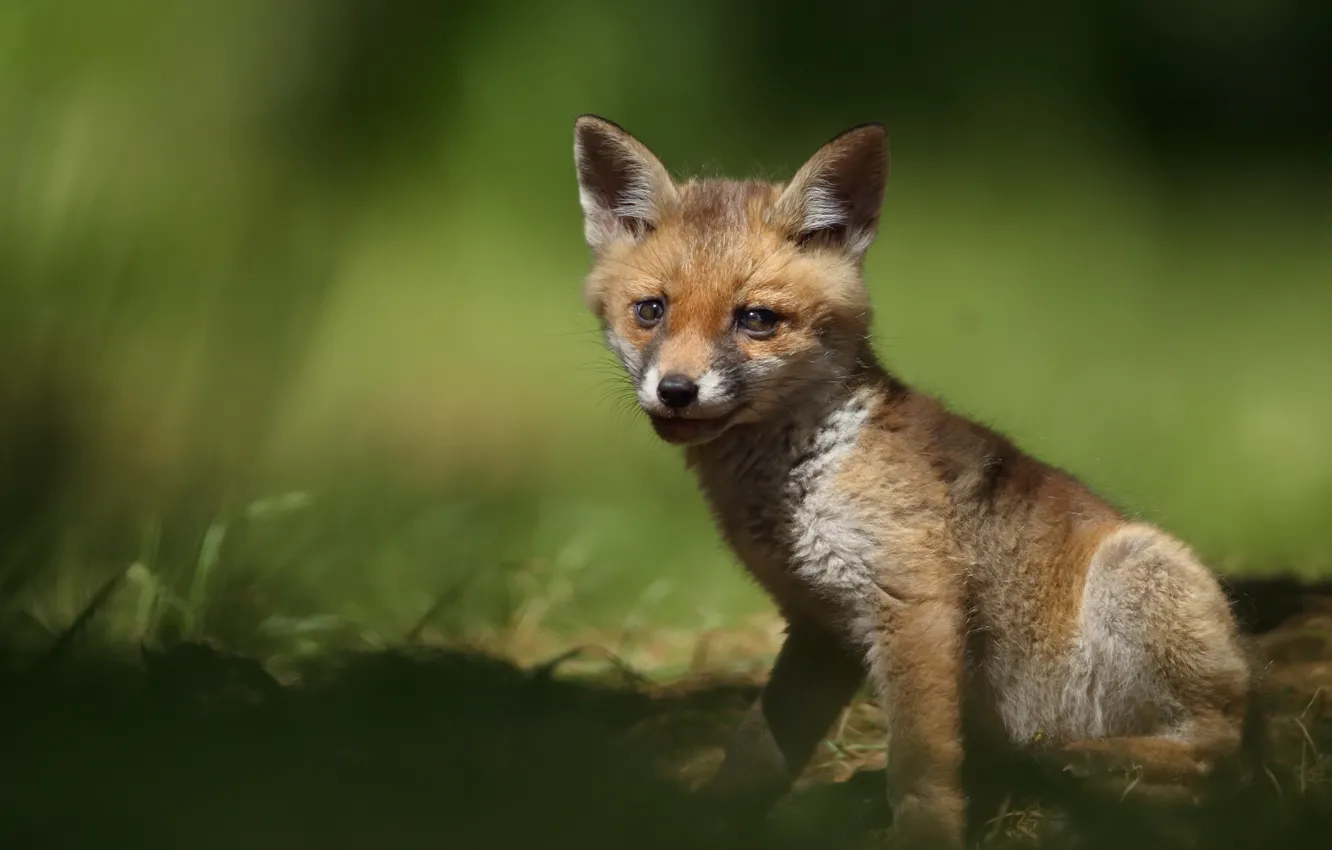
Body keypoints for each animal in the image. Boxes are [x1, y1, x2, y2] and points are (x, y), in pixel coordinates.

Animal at [570, 115, 1267, 848]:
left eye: (755, 319)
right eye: (650, 310)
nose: (676, 391)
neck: (803, 484)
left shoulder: (913, 600)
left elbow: (920, 763)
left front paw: (925, 833)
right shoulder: (818, 628)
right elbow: (755, 753)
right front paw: (701, 820)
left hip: (1138, 573)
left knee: (1218, 759)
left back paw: (1090, 765)